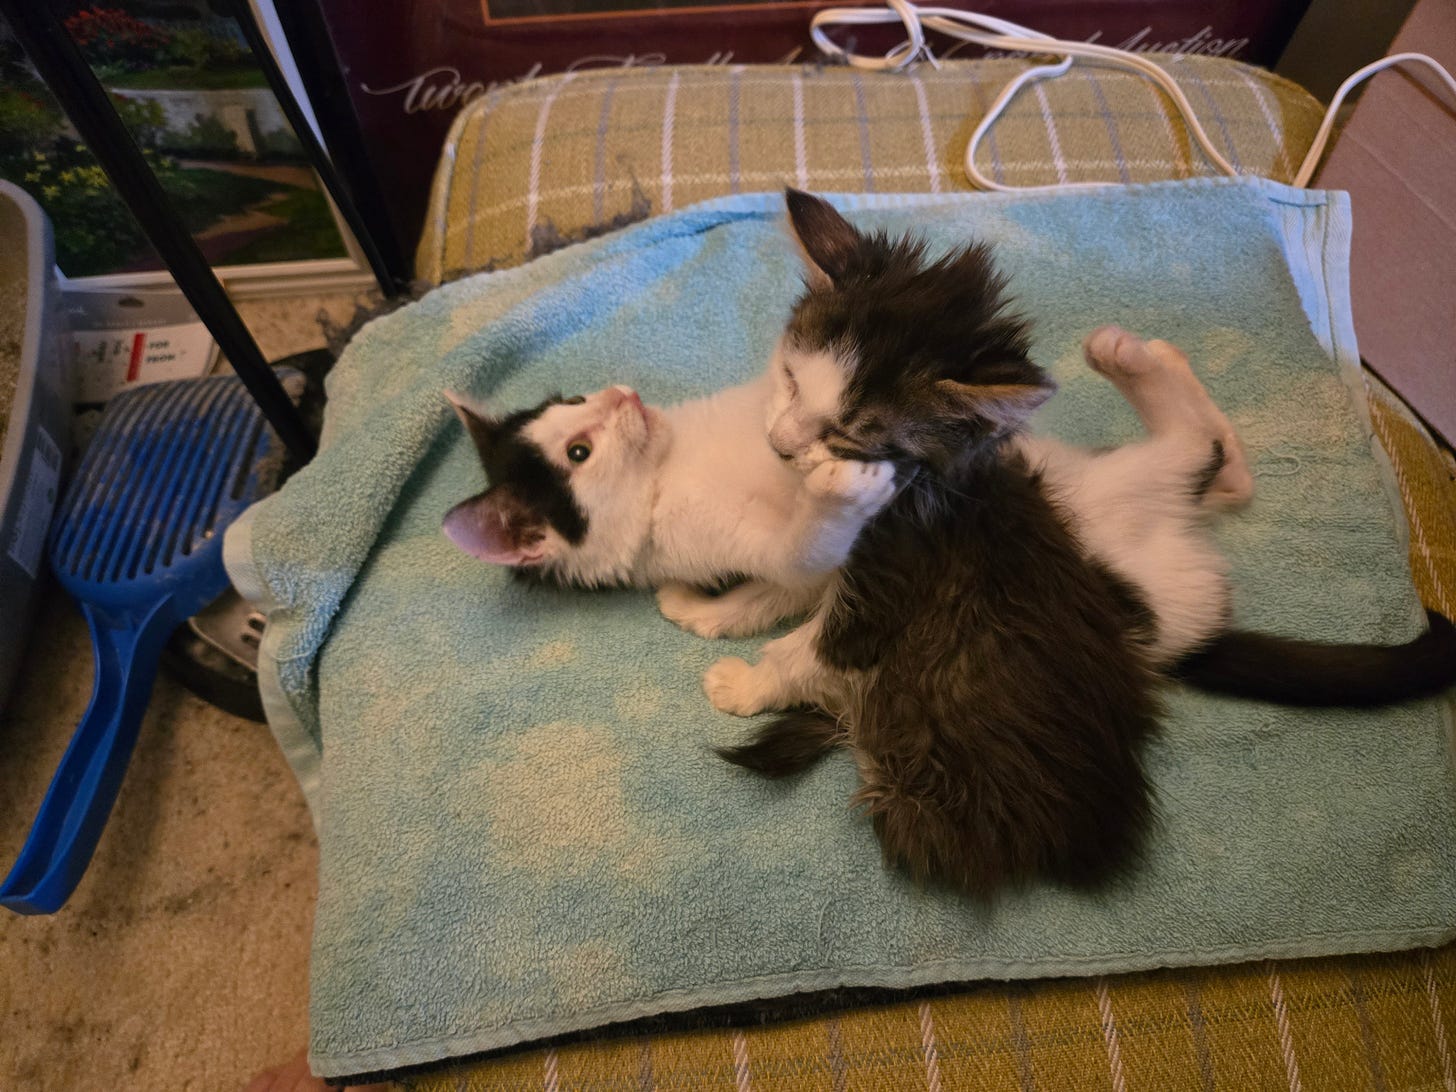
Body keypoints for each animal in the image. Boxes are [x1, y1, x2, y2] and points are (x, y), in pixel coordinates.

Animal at [704, 189, 1456, 895]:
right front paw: (720, 613)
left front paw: (745, 682)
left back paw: (1131, 359)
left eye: (847, 436)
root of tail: (1194, 624)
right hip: (1084, 478)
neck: (936, 481)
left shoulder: (895, 583)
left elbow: (814, 648)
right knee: (1221, 471)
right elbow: (788, 583)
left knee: (1196, 446)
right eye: (791, 380)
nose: (779, 445)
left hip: (1128, 513)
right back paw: (1151, 359)